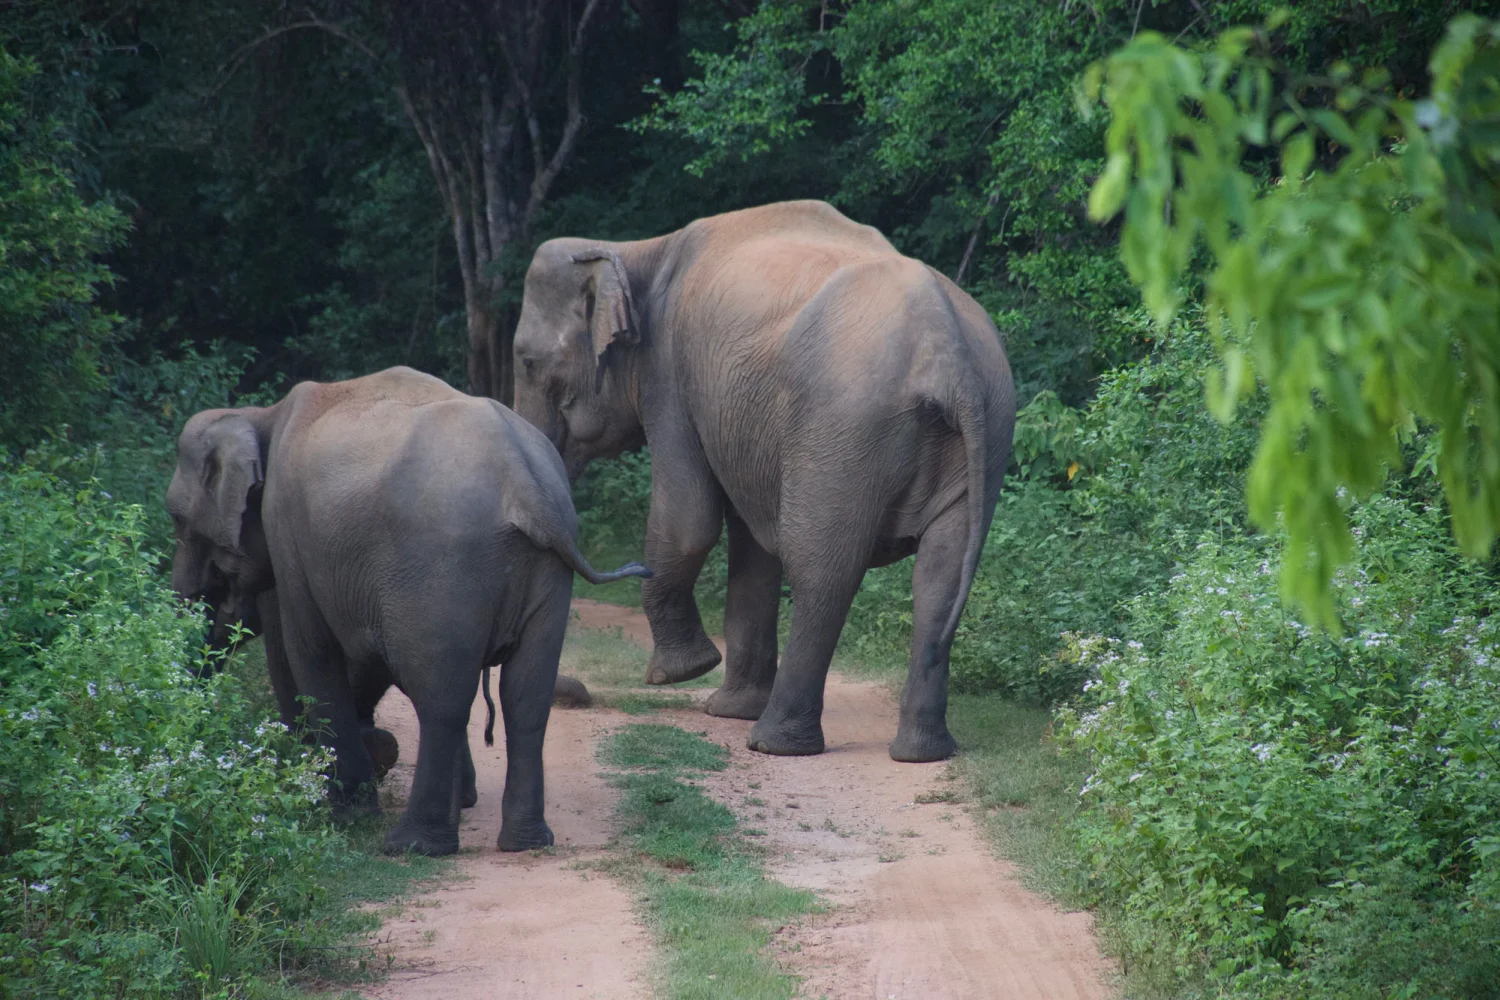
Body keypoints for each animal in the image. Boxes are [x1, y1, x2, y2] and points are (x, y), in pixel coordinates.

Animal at [170, 365, 651, 851]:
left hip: (441, 565)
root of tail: (525, 483)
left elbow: (308, 654)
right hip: (543, 571)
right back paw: (525, 841)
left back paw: (413, 844)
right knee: (526, 699)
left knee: (442, 699)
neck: (261, 415)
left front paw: (346, 813)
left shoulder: (289, 536)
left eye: (176, 520)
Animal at [513, 199, 1020, 761]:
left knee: (822, 569)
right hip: (987, 425)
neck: (637, 250)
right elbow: (751, 545)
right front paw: (726, 707)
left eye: (527, 362)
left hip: (843, 430)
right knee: (939, 580)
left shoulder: (670, 374)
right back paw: (921, 752)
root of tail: (948, 352)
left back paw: (774, 743)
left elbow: (690, 520)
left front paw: (679, 674)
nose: (576, 694)